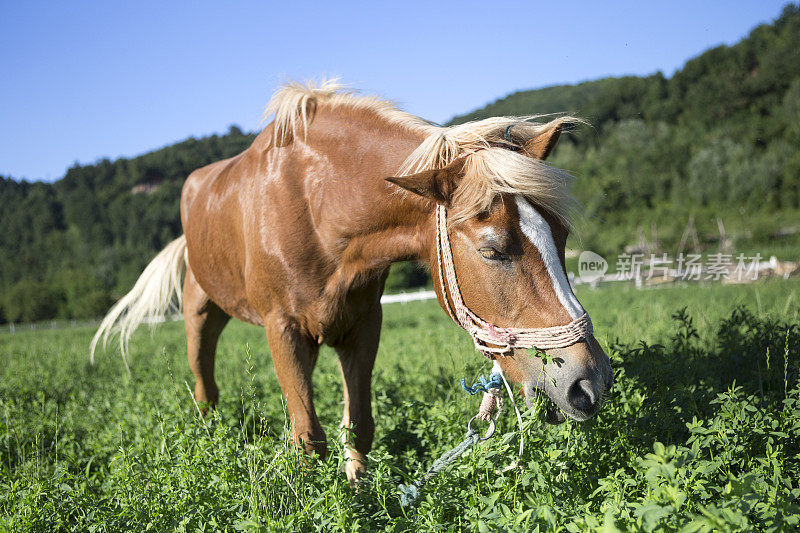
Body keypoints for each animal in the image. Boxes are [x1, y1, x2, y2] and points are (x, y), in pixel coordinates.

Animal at [90, 78, 612, 482]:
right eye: (493, 250)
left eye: (561, 235)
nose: (590, 381)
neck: (314, 205)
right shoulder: (283, 330)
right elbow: (308, 438)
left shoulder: (362, 325)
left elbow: (357, 424)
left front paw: (358, 493)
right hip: (202, 312)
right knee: (205, 387)